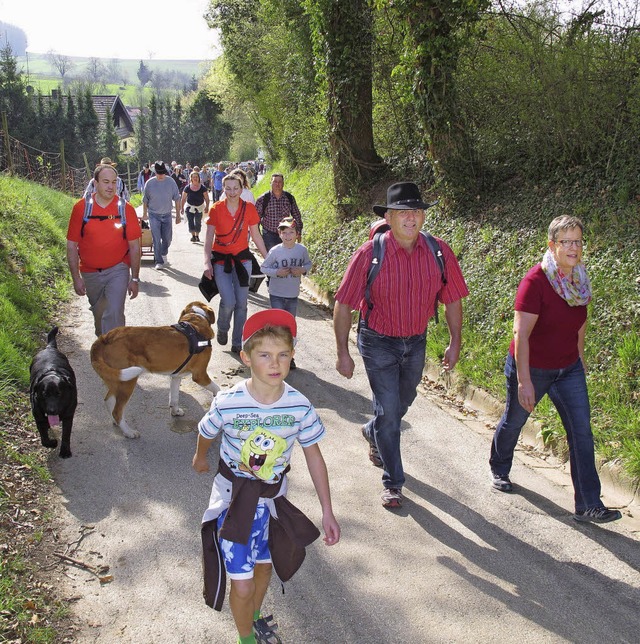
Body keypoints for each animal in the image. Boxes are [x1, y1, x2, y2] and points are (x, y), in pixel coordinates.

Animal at [29, 328, 77, 458]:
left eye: (59, 394)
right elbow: (44, 438)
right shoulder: (39, 417)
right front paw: (52, 443)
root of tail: (50, 348)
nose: (51, 410)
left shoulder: (69, 415)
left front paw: (65, 451)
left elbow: (66, 435)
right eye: (44, 394)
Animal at [90, 302, 220, 438]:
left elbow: (174, 398)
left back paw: (116, 422)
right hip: (127, 382)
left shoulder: (176, 377)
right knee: (117, 411)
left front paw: (175, 411)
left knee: (108, 401)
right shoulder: (200, 375)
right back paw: (128, 432)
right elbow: (217, 389)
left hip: (116, 380)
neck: (195, 320)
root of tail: (105, 337)